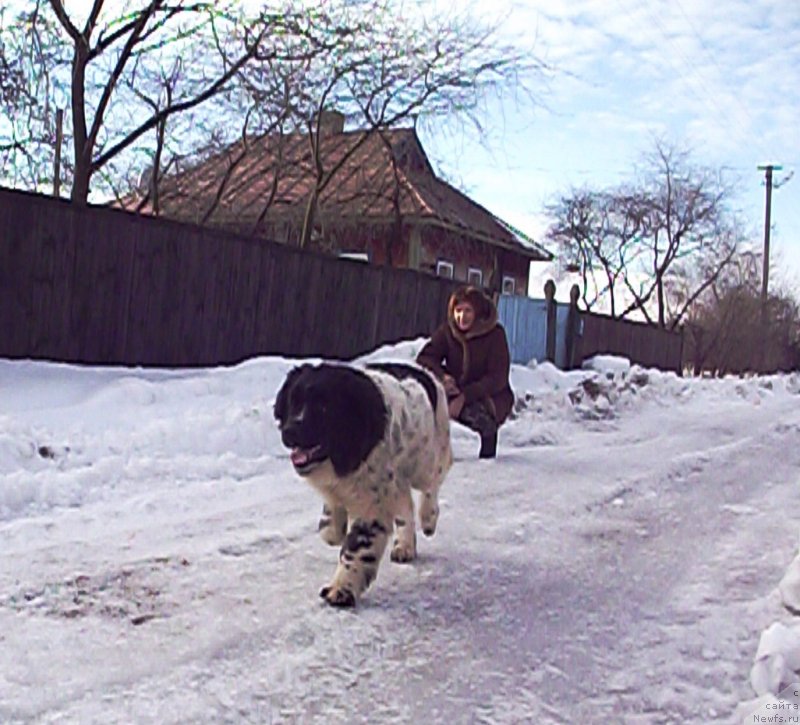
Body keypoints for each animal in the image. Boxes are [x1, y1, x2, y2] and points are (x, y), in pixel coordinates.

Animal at [274, 360, 450, 604]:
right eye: (293, 401)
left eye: (323, 408)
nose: (289, 431)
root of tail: (422, 370)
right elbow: (331, 523)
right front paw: (332, 527)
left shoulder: (372, 503)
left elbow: (356, 547)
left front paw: (340, 589)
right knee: (406, 503)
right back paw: (404, 546)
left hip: (424, 461)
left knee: (433, 481)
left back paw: (428, 518)